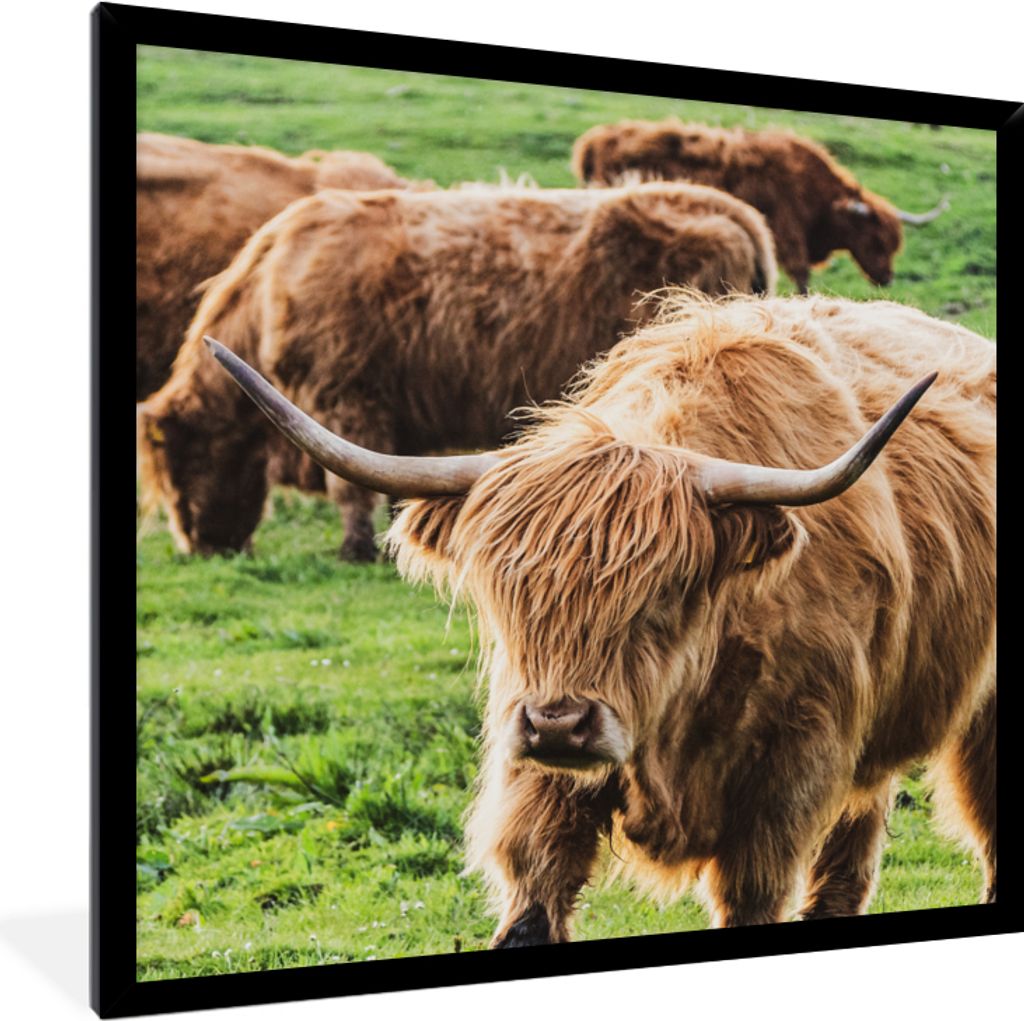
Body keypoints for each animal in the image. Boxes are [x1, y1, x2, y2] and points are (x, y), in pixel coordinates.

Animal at [138, 181, 777, 561]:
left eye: (177, 463)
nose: (199, 545)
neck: (271, 289)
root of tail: (731, 209)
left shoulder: (345, 396)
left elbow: (349, 487)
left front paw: (356, 550)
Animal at [207, 291, 995, 945]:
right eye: (507, 595)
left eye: (663, 596)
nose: (560, 724)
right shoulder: (536, 773)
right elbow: (532, 895)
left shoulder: (788, 777)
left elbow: (753, 895)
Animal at [571, 120, 948, 293]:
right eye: (876, 240)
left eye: (893, 244)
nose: (886, 278)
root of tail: (596, 139)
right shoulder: (787, 233)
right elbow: (801, 275)